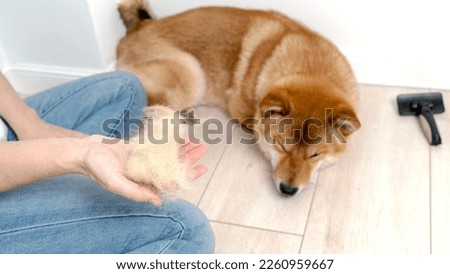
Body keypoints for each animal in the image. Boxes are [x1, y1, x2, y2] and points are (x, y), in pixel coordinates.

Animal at [117, 0, 362, 197]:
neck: (310, 68)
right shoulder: (241, 108)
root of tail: (136, 30)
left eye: (315, 155)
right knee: (151, 101)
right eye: (282, 146)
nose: (288, 190)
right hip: (192, 73)